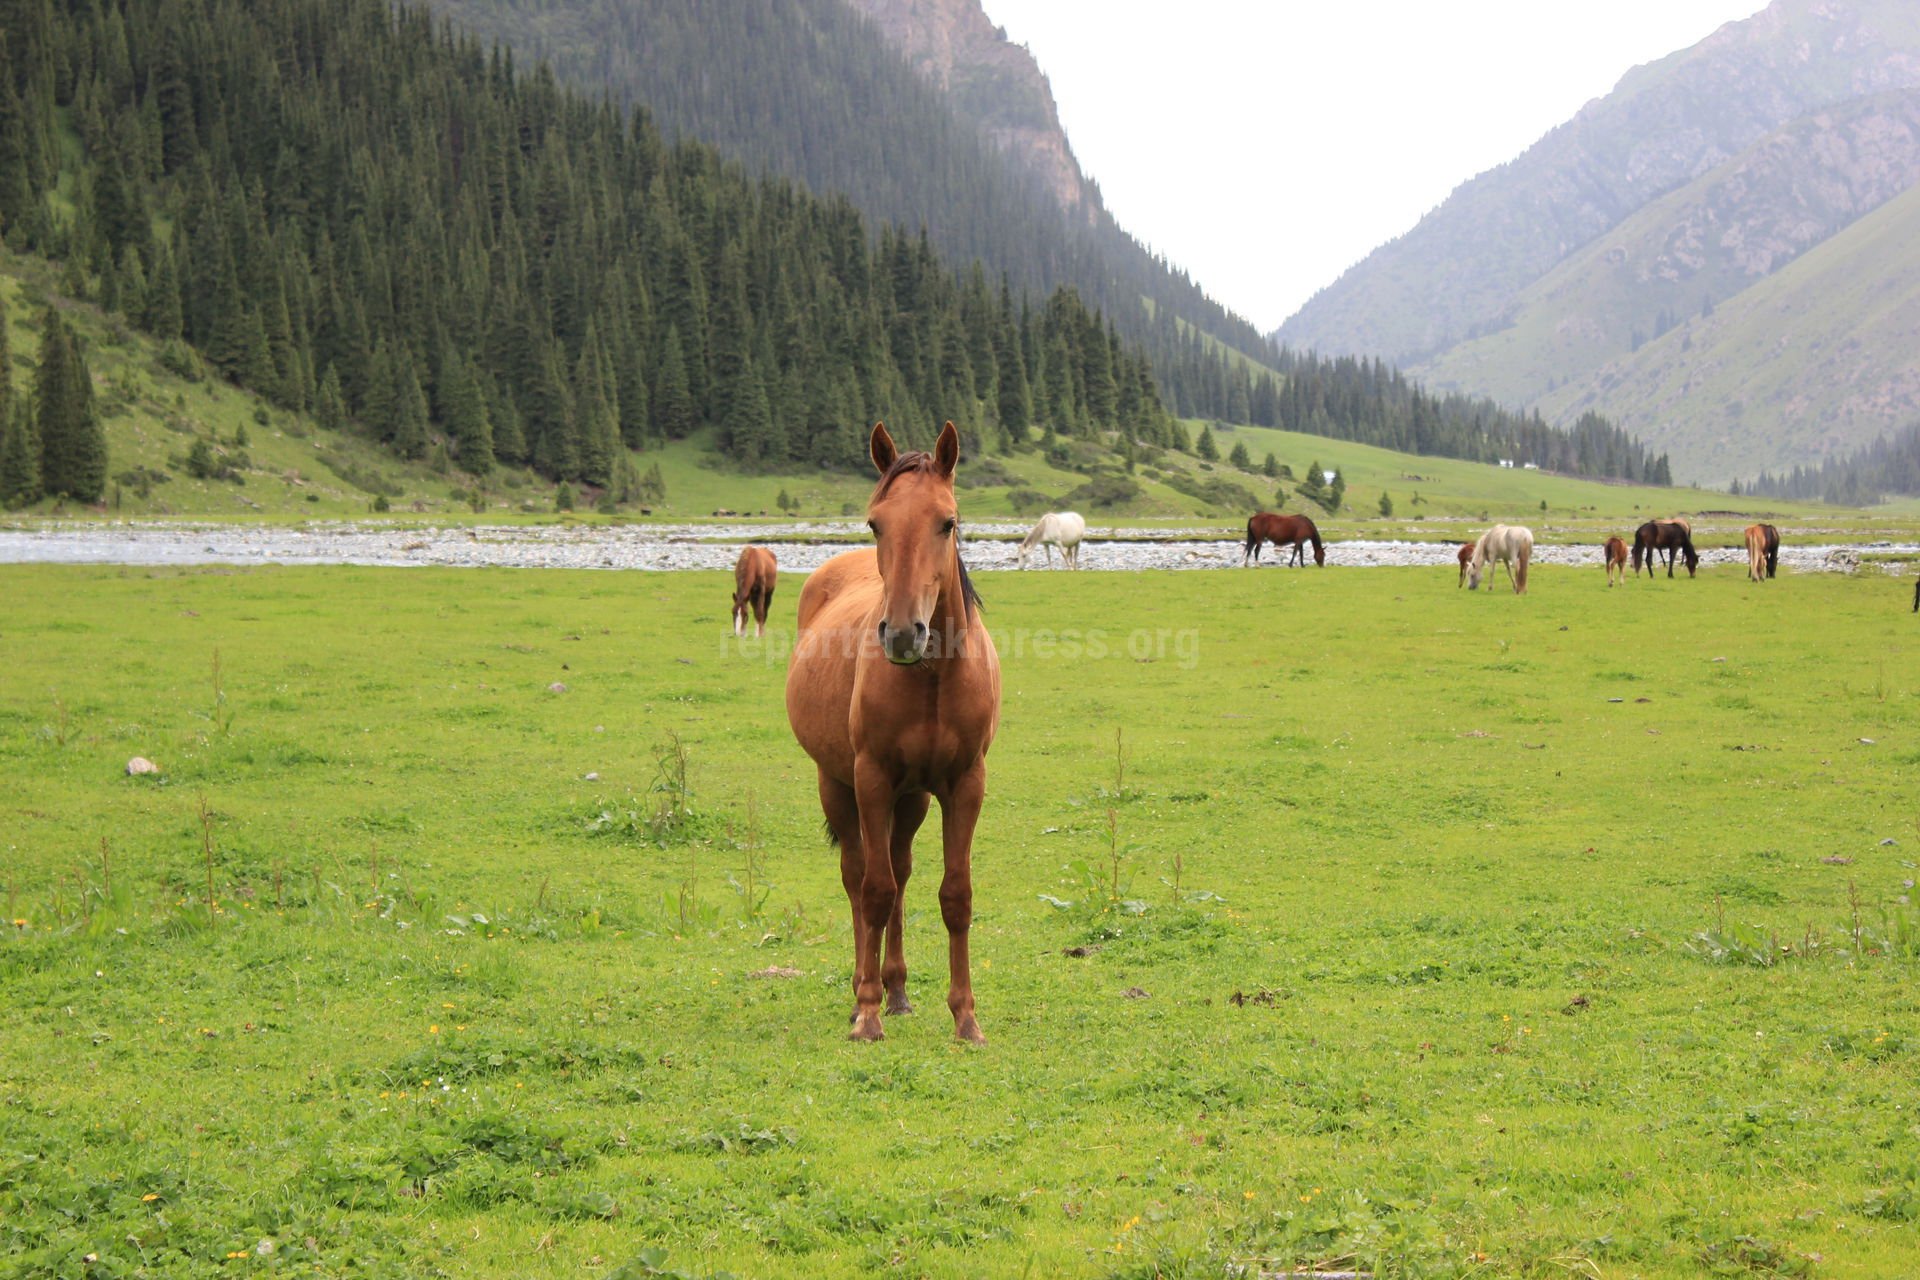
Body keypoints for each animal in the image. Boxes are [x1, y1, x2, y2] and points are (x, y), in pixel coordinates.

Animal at [783, 426, 1006, 1043]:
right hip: (838, 786)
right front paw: (866, 1014)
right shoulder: (872, 778)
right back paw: (866, 990)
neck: (931, 677)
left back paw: (898, 990)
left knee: (901, 871)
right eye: (875, 523)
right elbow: (874, 891)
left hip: (913, 800)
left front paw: (966, 1018)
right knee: (861, 878)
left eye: (947, 522)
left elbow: (955, 895)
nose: (904, 633)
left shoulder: (965, 784)